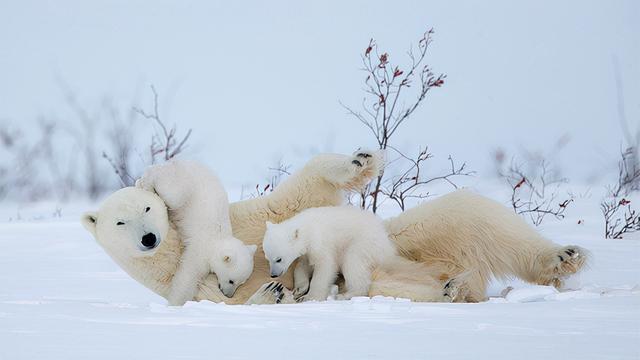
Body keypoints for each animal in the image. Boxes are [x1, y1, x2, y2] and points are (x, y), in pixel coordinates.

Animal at [136, 160, 256, 304]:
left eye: (241, 283)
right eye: (231, 281)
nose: (228, 295)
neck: (218, 239)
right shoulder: (200, 250)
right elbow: (188, 275)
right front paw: (177, 302)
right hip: (184, 186)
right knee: (172, 194)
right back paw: (145, 182)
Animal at [262, 205, 398, 300]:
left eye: (278, 259)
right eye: (267, 258)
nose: (273, 275)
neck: (309, 229)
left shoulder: (321, 243)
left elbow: (325, 267)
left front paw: (310, 297)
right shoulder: (307, 252)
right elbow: (302, 266)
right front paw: (299, 289)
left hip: (363, 244)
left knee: (353, 264)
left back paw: (345, 295)